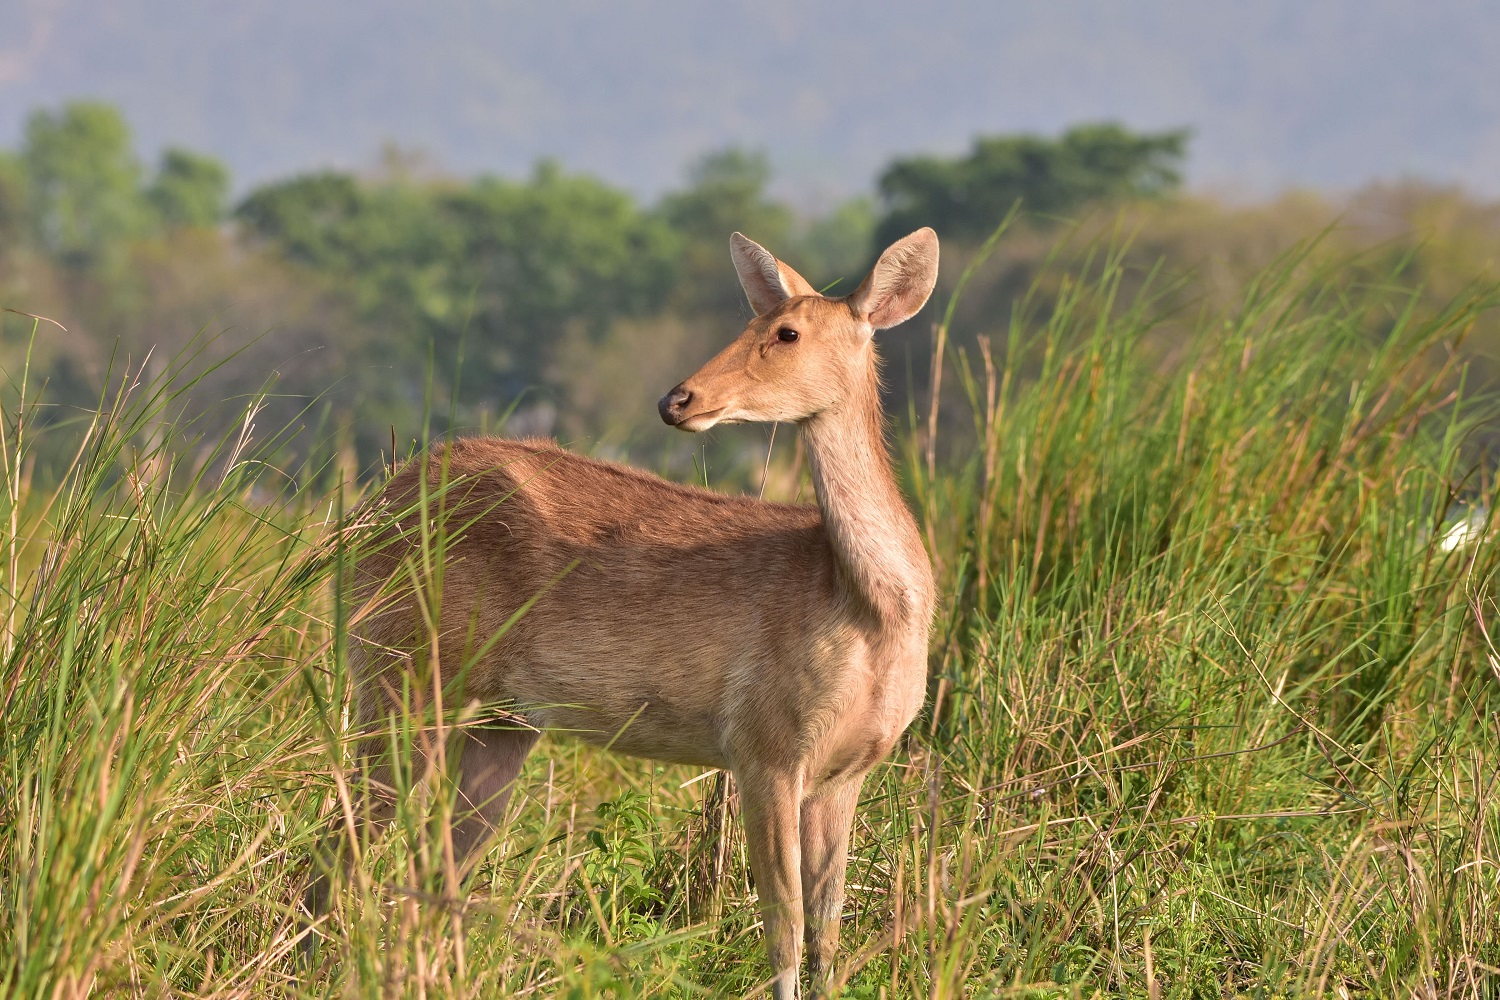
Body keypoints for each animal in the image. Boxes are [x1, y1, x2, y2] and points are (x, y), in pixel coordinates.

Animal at [337, 229, 936, 1000]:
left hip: (497, 721)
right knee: (346, 839)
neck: (866, 608)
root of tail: (375, 506)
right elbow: (785, 926)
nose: (676, 399)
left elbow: (827, 930)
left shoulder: (848, 768)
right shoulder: (762, 744)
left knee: (434, 867)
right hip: (401, 670)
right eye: (755, 317)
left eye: (787, 330)